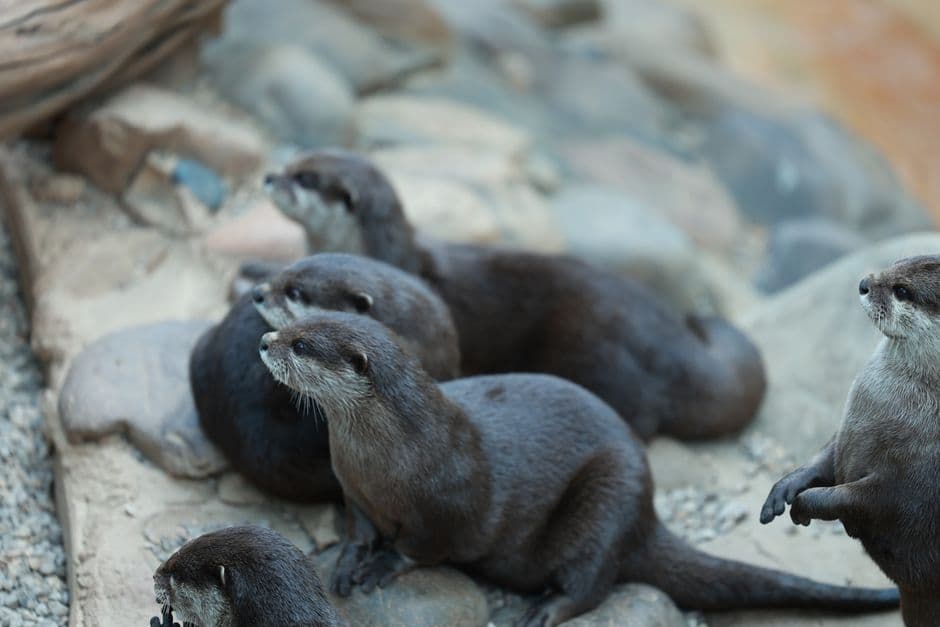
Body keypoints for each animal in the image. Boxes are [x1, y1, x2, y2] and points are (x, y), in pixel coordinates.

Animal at [258, 311, 898, 626]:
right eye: (292, 326)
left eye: (303, 344)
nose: (264, 339)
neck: (387, 458)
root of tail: (646, 515)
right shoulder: (354, 491)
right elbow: (359, 529)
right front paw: (348, 563)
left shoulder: (446, 507)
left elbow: (422, 547)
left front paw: (381, 567)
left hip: (609, 499)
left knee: (594, 581)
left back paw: (544, 610)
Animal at [761, 255, 940, 627]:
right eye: (897, 263)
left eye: (902, 291)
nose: (864, 283)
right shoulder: (845, 436)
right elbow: (825, 459)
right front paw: (785, 489)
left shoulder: (915, 481)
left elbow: (867, 499)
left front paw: (806, 504)